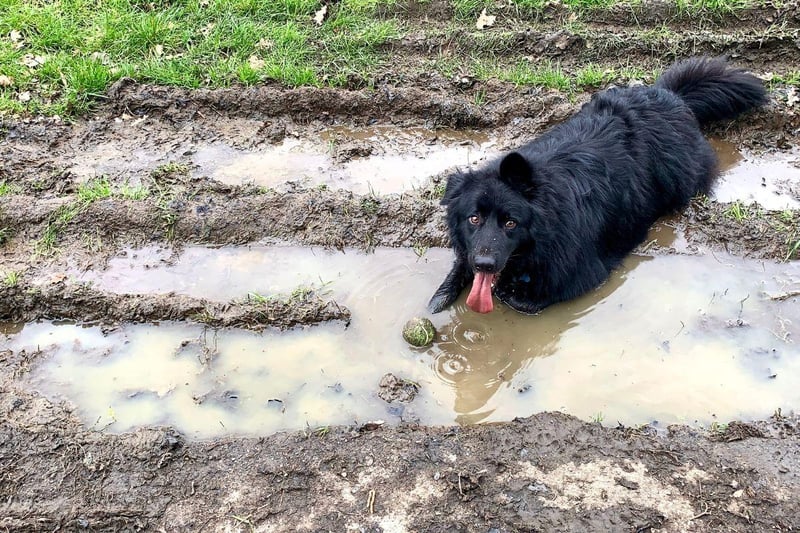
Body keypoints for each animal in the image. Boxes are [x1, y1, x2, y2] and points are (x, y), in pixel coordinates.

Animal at [428, 57, 764, 316]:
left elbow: (530, 299)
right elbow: (460, 264)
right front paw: (440, 296)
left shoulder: (578, 263)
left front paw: (509, 291)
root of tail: (672, 96)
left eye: (511, 223)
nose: (485, 264)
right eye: (474, 219)